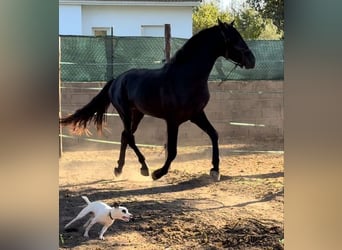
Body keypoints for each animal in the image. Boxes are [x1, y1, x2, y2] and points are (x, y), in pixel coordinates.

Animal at [60, 19, 255, 180]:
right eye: (234, 38)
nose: (252, 60)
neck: (187, 77)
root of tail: (117, 80)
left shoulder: (196, 114)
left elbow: (214, 134)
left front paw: (215, 170)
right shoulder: (173, 120)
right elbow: (173, 150)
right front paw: (158, 173)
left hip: (137, 114)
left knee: (125, 136)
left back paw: (119, 169)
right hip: (125, 113)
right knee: (129, 137)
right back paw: (144, 168)